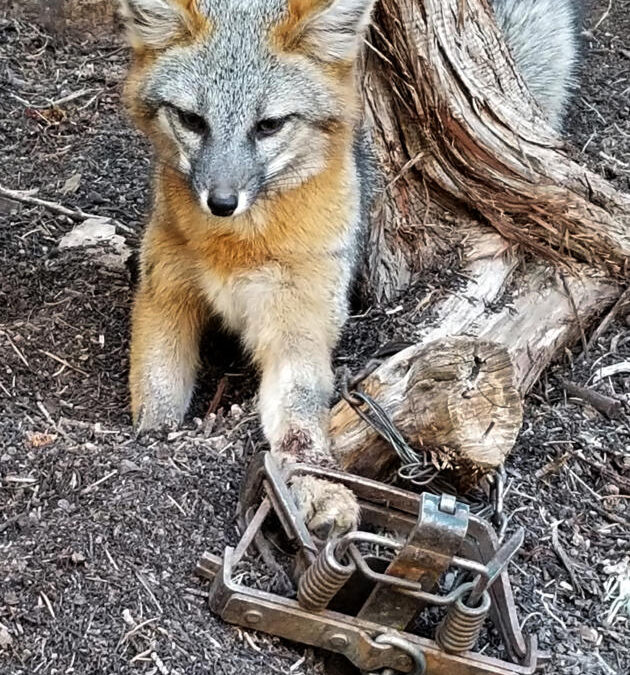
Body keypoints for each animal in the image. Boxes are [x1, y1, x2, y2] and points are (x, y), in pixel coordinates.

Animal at [118, 0, 584, 540]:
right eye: (193, 120)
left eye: (268, 126)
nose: (222, 202)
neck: (235, 249)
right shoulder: (164, 294)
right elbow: (157, 388)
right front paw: (153, 436)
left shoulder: (298, 326)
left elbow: (300, 420)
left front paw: (315, 485)